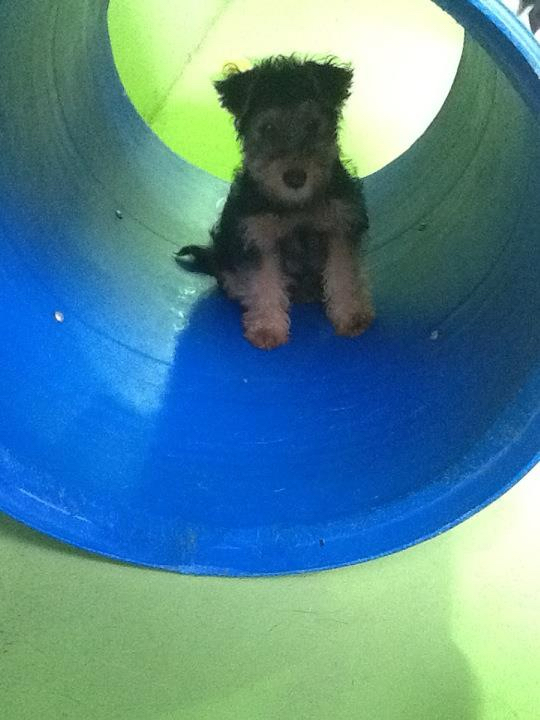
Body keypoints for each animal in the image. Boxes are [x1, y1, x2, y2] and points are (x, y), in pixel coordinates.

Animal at [176, 56, 374, 350]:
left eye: (312, 125)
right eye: (268, 128)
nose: (295, 177)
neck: (295, 205)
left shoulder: (340, 226)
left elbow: (343, 274)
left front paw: (352, 316)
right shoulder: (259, 238)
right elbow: (264, 283)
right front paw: (267, 328)